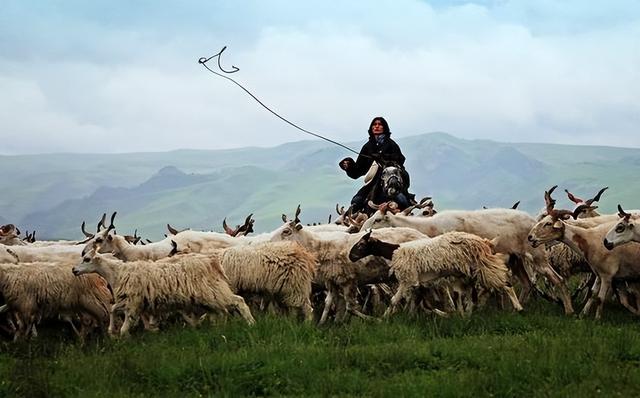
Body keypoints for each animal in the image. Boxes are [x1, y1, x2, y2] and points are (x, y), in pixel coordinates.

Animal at [348, 230, 524, 318]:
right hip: (468, 272)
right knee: (470, 293)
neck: (394, 251)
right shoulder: (418, 282)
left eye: (361, 244)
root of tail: (485, 242)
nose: (350, 256)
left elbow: (394, 300)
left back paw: (519, 308)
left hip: (482, 265)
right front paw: (409, 316)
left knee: (506, 284)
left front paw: (384, 318)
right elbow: (415, 300)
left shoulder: (407, 279)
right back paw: (467, 314)